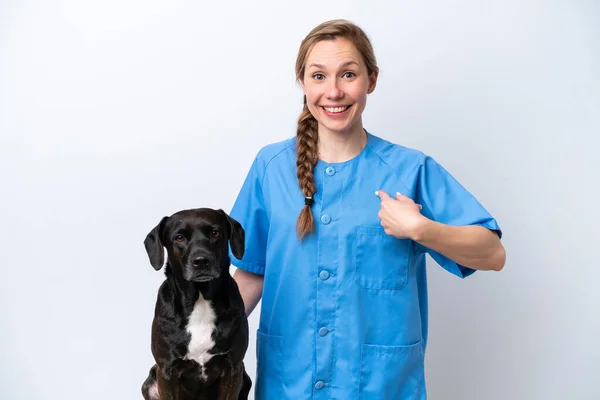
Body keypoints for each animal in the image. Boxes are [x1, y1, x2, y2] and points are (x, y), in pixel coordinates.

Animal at [142, 209, 252, 400]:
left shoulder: (233, 369)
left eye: (215, 233)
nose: (201, 261)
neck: (200, 300)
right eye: (179, 237)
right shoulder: (166, 371)